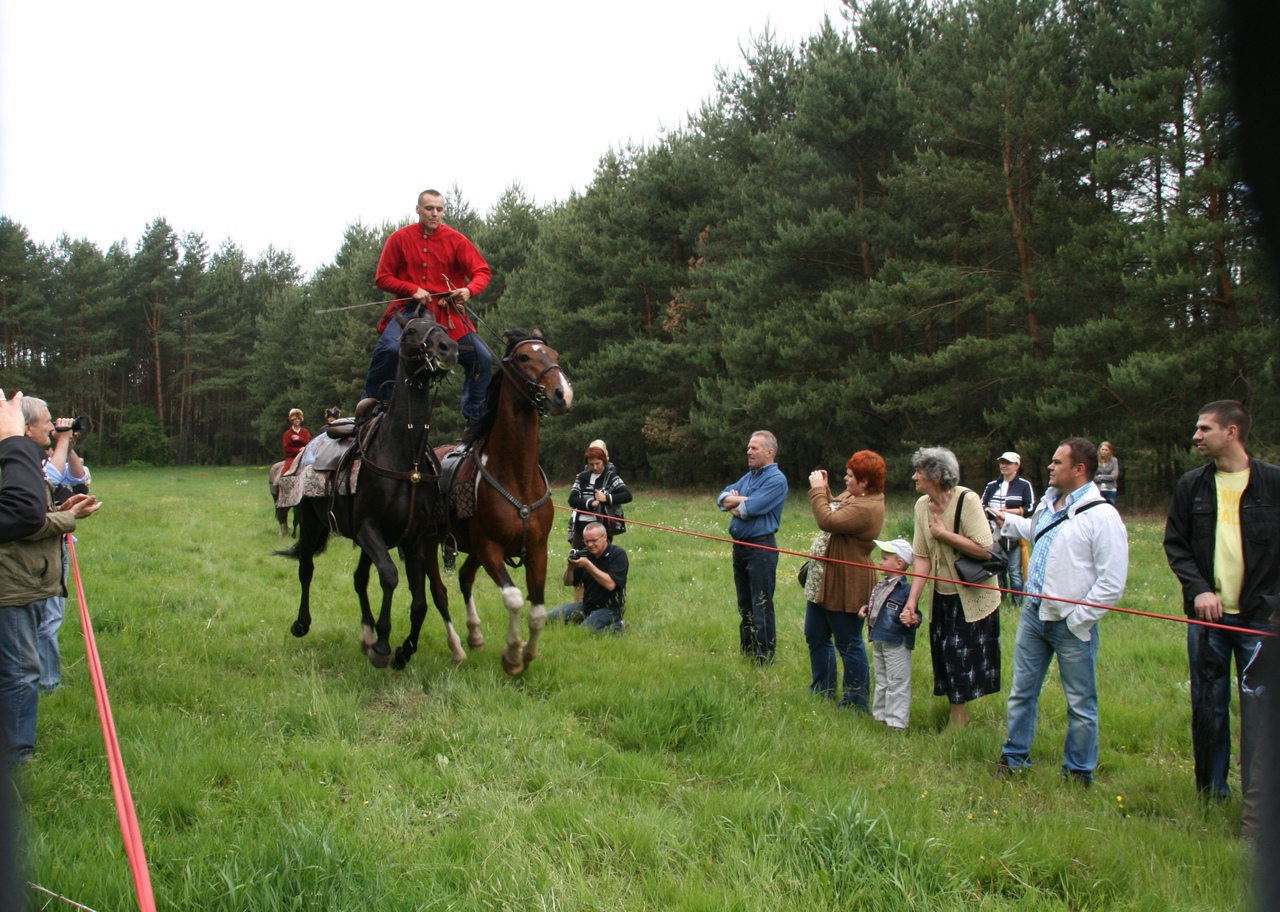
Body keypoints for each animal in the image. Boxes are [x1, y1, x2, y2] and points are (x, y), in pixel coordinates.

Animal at [280, 313, 460, 671]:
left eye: (444, 327)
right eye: (411, 331)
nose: (448, 348)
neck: (404, 457)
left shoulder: (413, 538)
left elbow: (419, 601)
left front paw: (402, 650)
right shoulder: (369, 529)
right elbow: (389, 576)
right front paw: (383, 644)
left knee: (360, 578)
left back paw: (366, 631)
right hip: (311, 522)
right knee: (307, 568)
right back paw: (303, 623)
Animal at [422, 330, 573, 671]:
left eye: (554, 354)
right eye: (524, 357)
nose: (563, 394)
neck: (517, 478)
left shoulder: (536, 550)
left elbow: (538, 610)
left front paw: (528, 654)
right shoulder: (489, 547)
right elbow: (514, 598)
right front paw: (513, 654)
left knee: (464, 578)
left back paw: (475, 635)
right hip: (428, 544)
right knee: (439, 592)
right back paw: (457, 649)